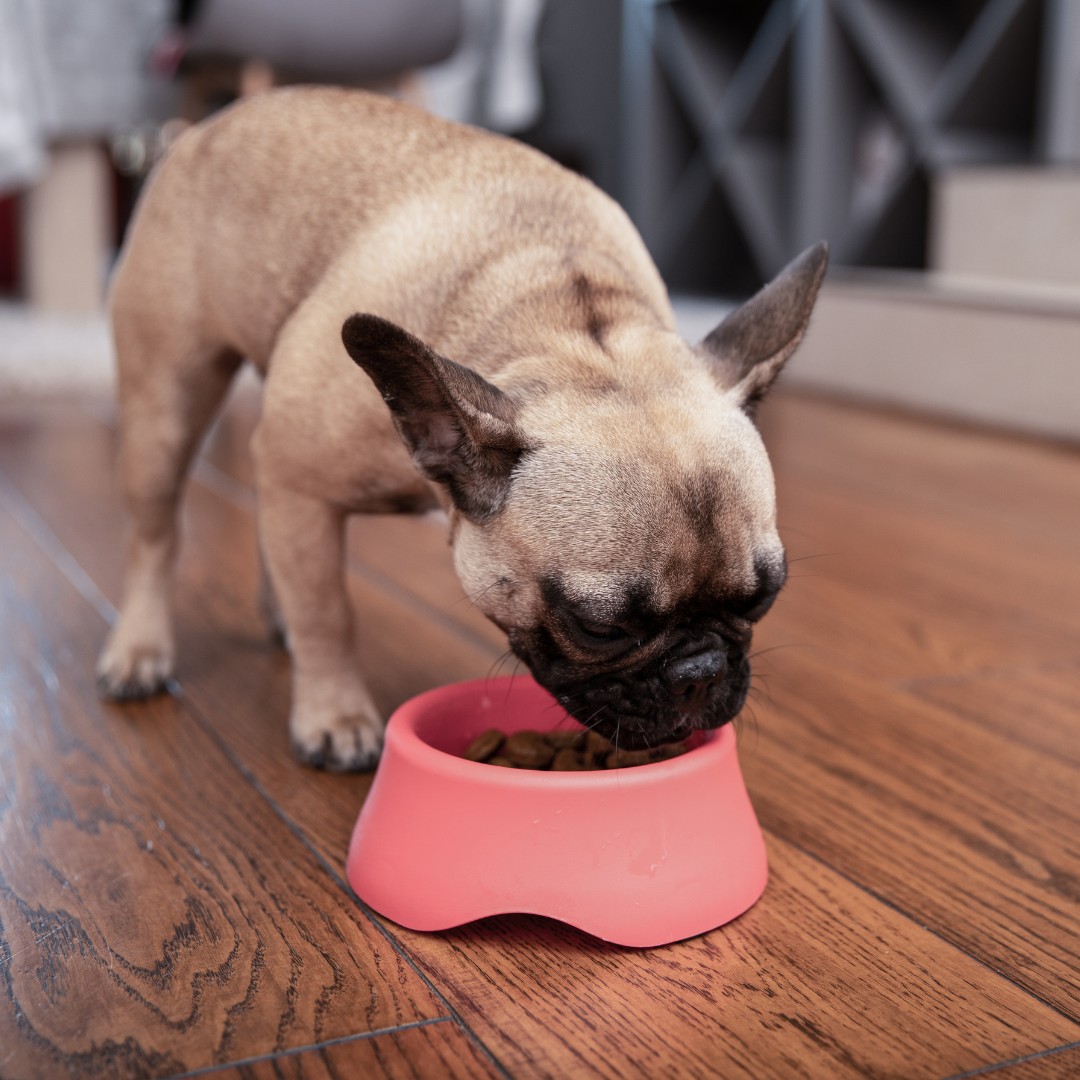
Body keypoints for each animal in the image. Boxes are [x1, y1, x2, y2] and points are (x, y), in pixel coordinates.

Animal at [99, 88, 825, 773]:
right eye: (598, 628)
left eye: (763, 599)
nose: (699, 673)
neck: (563, 323)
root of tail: (207, 127)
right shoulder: (302, 480)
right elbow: (327, 612)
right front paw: (334, 717)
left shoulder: (291, 480)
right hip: (166, 406)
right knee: (154, 535)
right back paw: (139, 650)